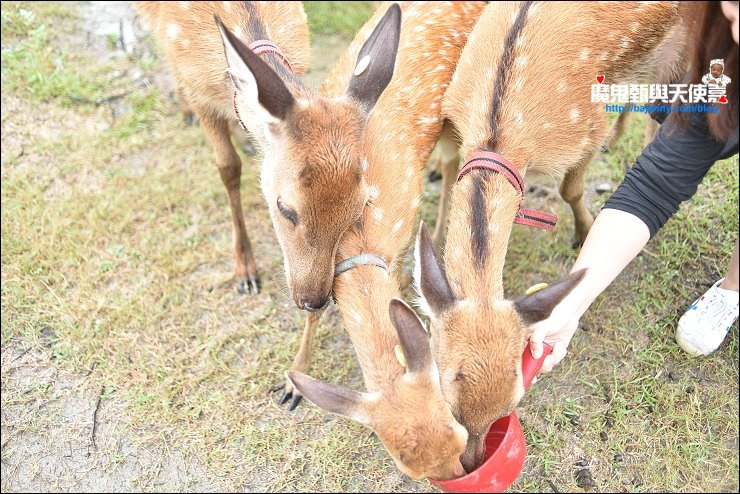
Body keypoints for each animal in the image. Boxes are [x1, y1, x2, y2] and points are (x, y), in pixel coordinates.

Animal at [134, 1, 310, 296]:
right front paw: (246, 272)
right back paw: (186, 112)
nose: (314, 298)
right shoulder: (199, 91)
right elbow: (228, 167)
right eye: (285, 208)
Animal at [278, 1, 486, 482]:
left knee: (455, 164)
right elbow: (313, 309)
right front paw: (293, 380)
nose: (463, 474)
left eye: (457, 432)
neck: (358, 242)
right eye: (408, 468)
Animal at [414, 0, 684, 470]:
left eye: (510, 404)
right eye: (447, 395)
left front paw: (585, 232)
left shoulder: (585, 127)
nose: (472, 464)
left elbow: (570, 188)